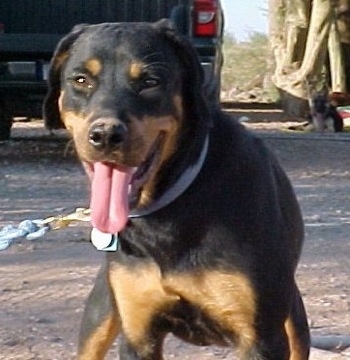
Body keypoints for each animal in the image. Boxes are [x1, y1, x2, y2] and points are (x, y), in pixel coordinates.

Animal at [43, 20, 308, 360]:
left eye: (150, 81)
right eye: (81, 80)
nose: (105, 135)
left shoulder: (261, 338)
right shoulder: (138, 335)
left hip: (293, 322)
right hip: (101, 311)